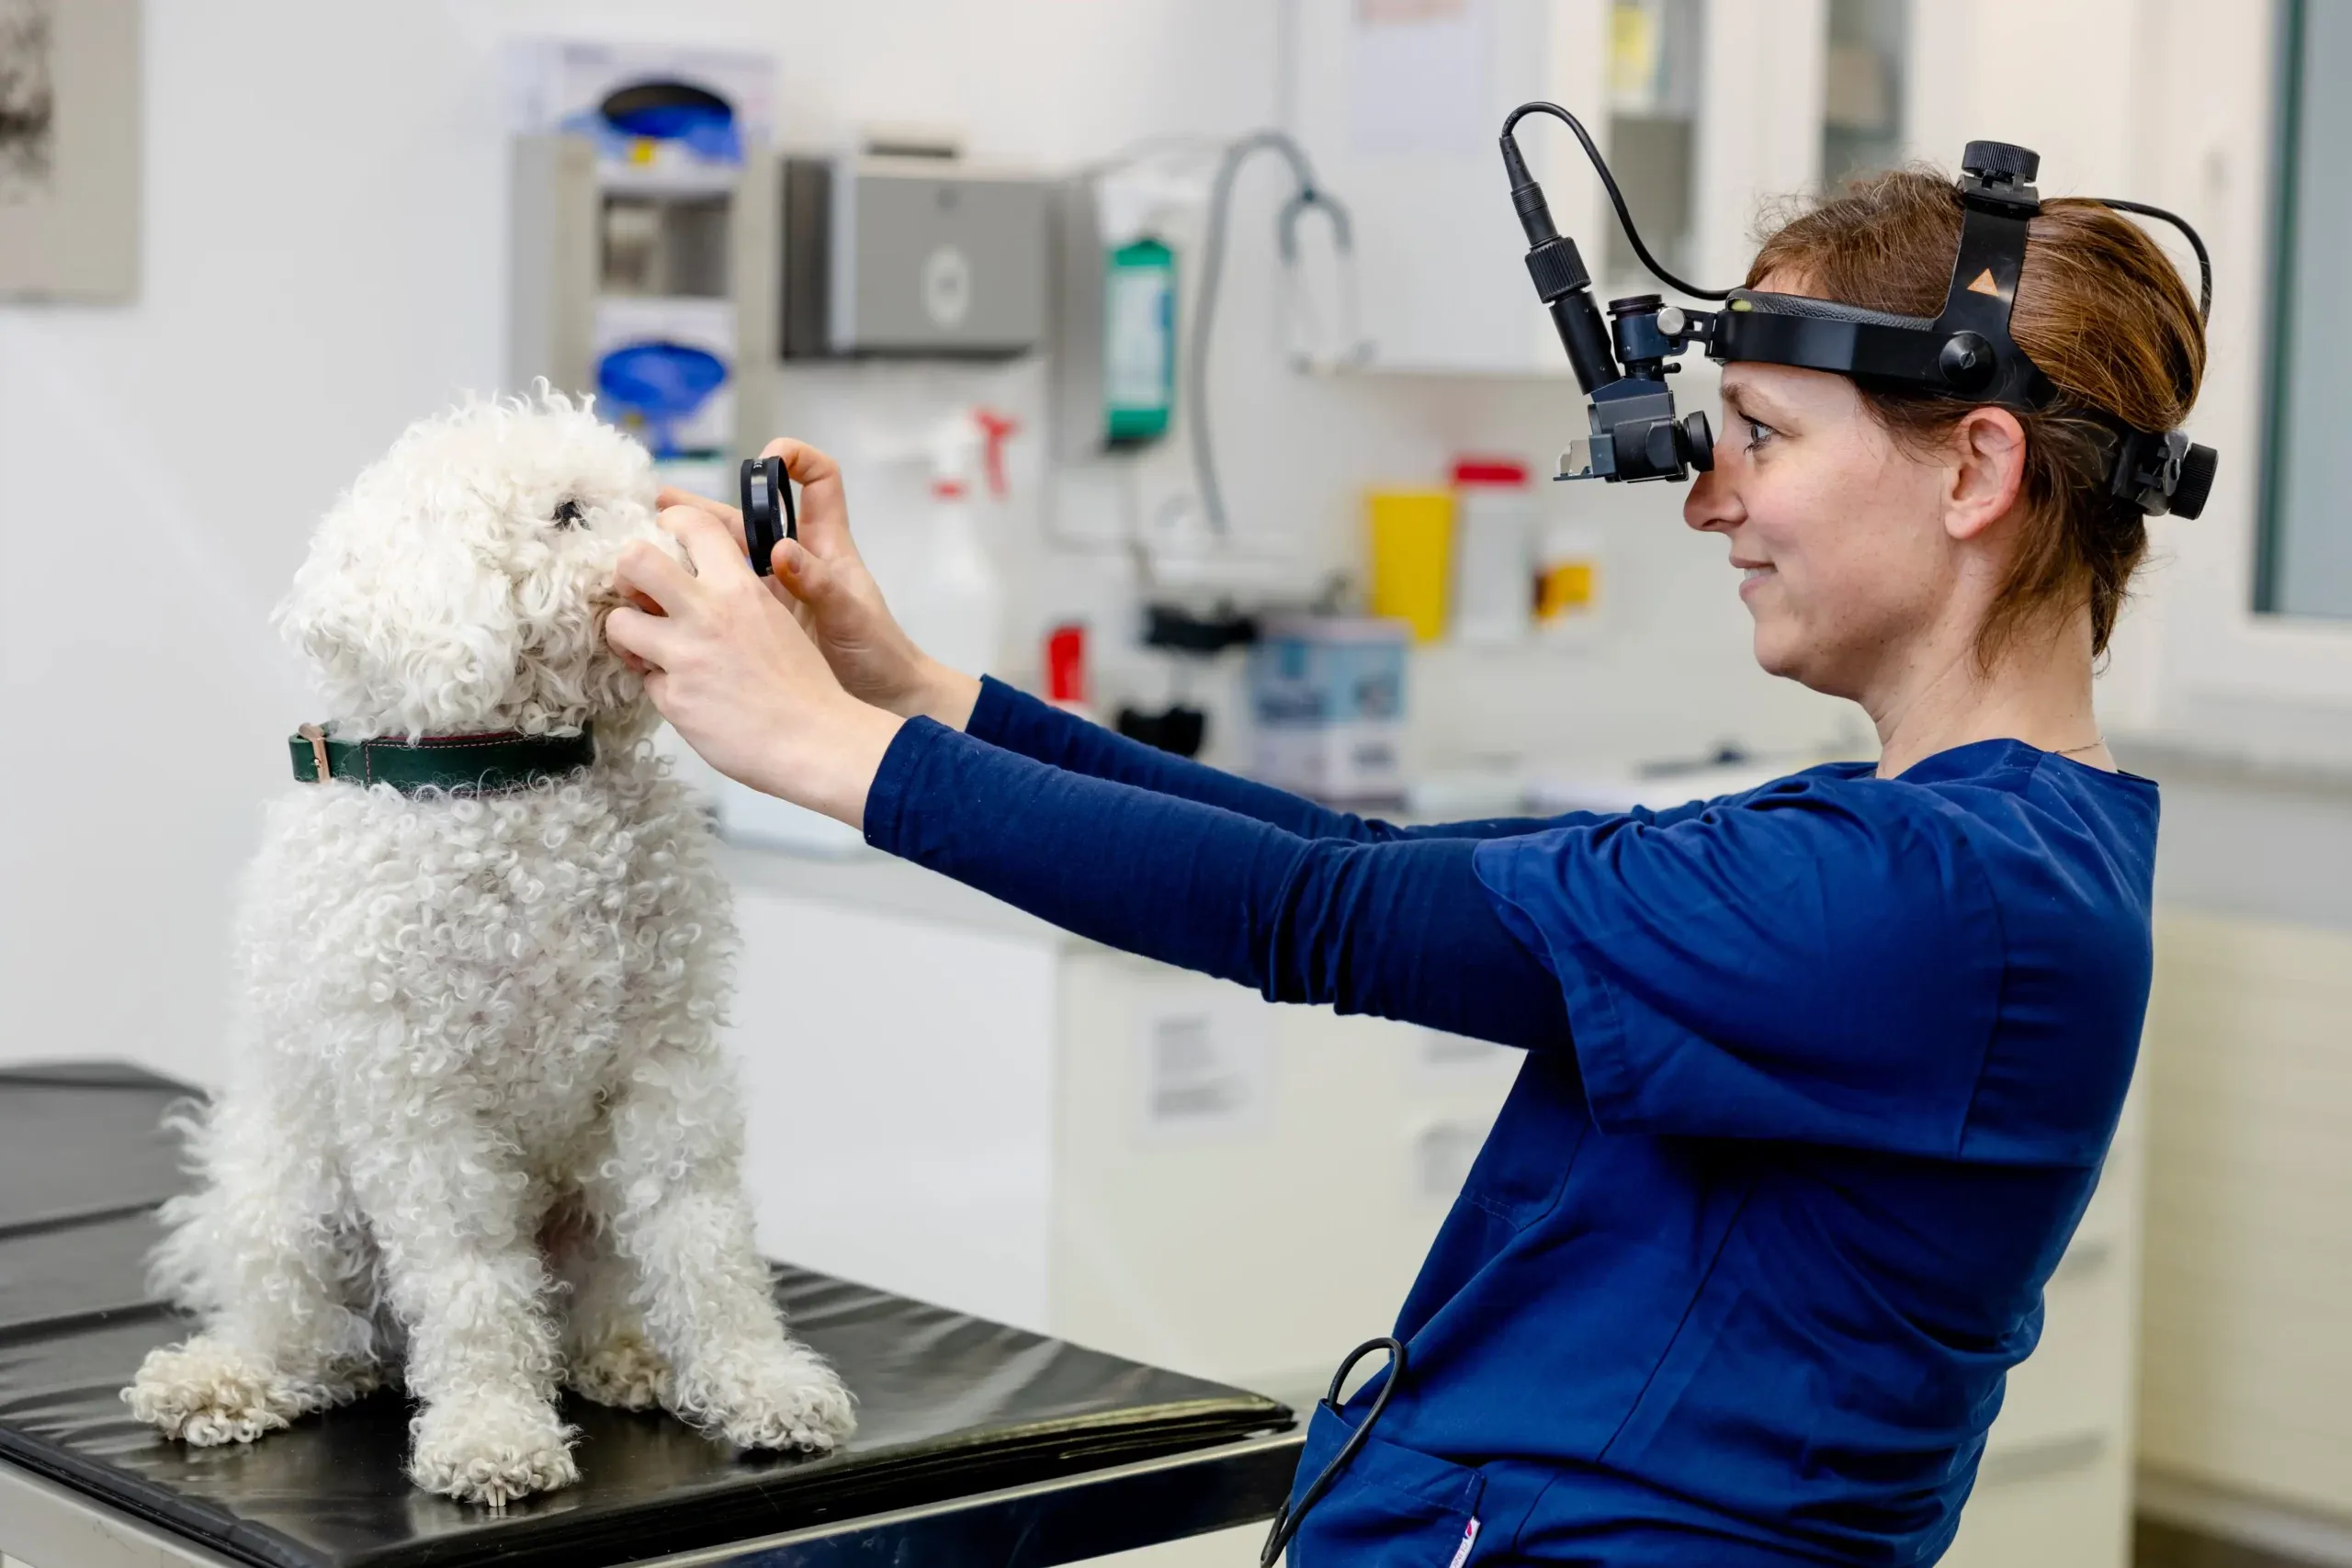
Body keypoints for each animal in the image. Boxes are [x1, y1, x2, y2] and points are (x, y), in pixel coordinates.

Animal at [121, 392, 855, 1504]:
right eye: (567, 511)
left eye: (650, 493)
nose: (734, 538)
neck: (516, 782)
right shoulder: (421, 1102)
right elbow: (470, 1278)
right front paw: (490, 1435)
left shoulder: (666, 1068)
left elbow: (706, 1240)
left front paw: (759, 1383)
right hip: (290, 1196)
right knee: (318, 1337)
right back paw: (227, 1379)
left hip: (590, 1205)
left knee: (588, 1299)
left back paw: (626, 1355)